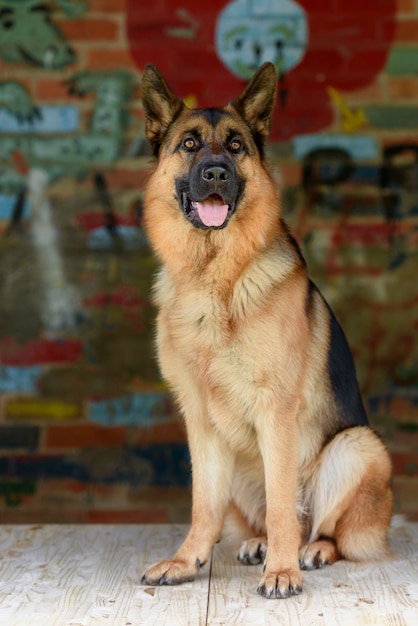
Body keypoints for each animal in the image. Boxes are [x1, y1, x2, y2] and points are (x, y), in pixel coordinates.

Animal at [140, 62, 392, 596]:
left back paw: (309, 551)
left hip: (357, 447)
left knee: (324, 528)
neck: (215, 278)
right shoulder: (199, 418)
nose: (217, 173)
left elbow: (281, 505)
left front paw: (282, 570)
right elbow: (202, 504)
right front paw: (186, 561)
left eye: (236, 146)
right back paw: (257, 544)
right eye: (189, 144)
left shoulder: (275, 410)